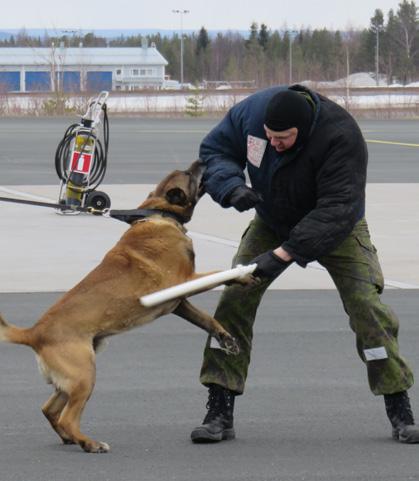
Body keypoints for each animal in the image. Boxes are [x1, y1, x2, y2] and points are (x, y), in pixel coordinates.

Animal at [0, 159, 251, 452]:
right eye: (190, 174)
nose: (203, 160)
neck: (161, 214)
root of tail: (33, 333)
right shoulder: (187, 281)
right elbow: (221, 273)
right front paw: (243, 275)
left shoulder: (179, 302)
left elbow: (207, 320)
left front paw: (226, 339)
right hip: (85, 376)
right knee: (67, 418)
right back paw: (89, 443)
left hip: (73, 379)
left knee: (49, 409)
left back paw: (71, 439)